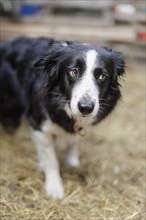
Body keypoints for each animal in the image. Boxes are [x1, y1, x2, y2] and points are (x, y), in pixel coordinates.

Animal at [0, 37, 125, 199]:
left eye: (102, 76)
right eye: (73, 71)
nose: (86, 107)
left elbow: (73, 142)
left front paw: (72, 161)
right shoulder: (40, 124)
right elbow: (51, 160)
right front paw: (54, 187)